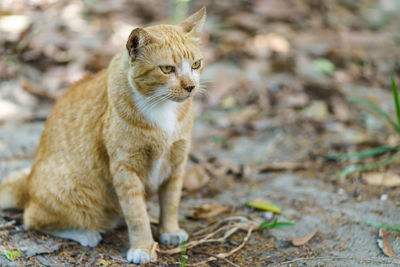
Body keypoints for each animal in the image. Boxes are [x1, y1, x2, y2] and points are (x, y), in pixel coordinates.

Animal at [0, 6, 206, 266]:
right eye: (167, 69)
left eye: (196, 64)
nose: (190, 86)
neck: (162, 108)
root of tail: (27, 185)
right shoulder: (125, 169)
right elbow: (137, 214)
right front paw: (142, 246)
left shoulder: (177, 162)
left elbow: (171, 202)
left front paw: (169, 231)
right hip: (75, 192)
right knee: (34, 219)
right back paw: (86, 233)